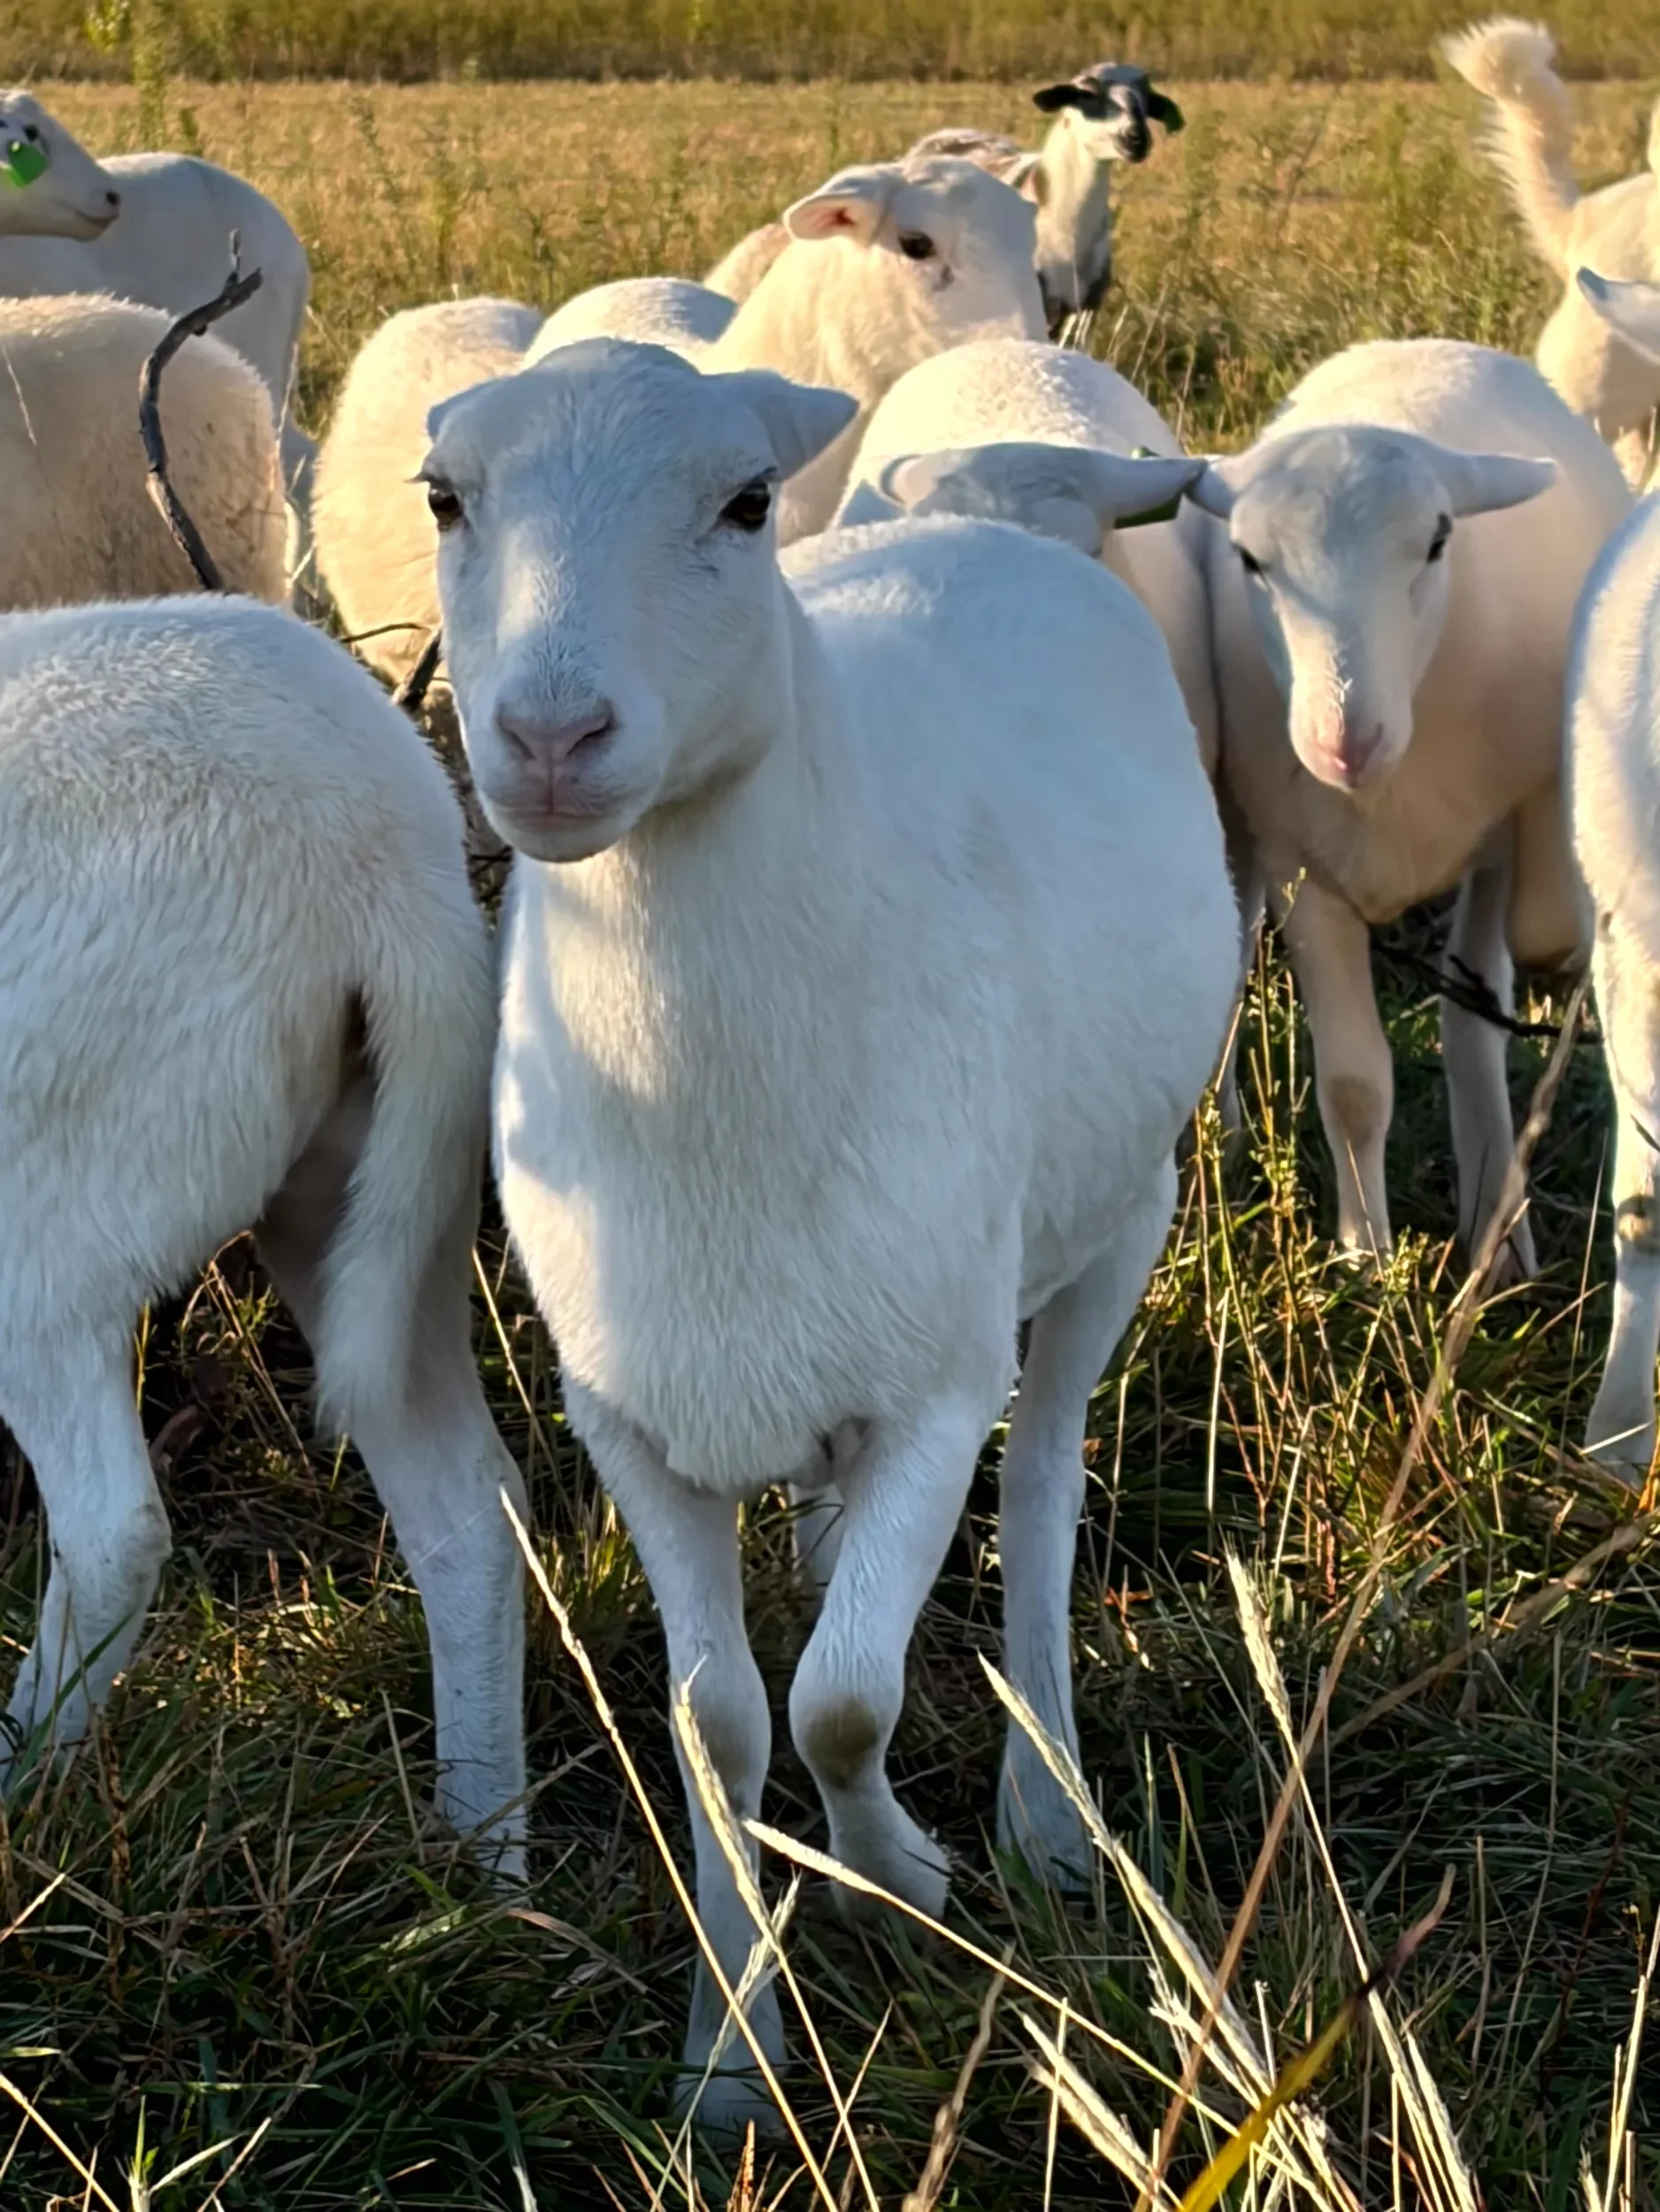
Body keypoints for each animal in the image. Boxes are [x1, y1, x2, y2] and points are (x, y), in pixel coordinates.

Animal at [0, 593, 527, 1872]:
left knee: (113, 1535)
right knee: (471, 1513)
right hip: (376, 1195)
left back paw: (18, 1798)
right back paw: (486, 1858)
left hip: (46, 1215)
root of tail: (381, 872)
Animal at [421, 337, 1239, 2126]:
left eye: (744, 502)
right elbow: (720, 1723)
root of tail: (1000, 516)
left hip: (1121, 1218)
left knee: (1050, 1485)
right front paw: (733, 2052)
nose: (551, 736)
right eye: (445, 501)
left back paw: (1047, 1811)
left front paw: (899, 1880)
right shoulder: (630, 1417)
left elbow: (847, 1705)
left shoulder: (936, 1388)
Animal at [1191, 338, 1630, 1281]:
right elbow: (1355, 1086)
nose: (1343, 740)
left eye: (1436, 543)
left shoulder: (1507, 828)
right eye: (1250, 561)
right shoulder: (1303, 873)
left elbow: (1522, 952)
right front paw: (1367, 1262)